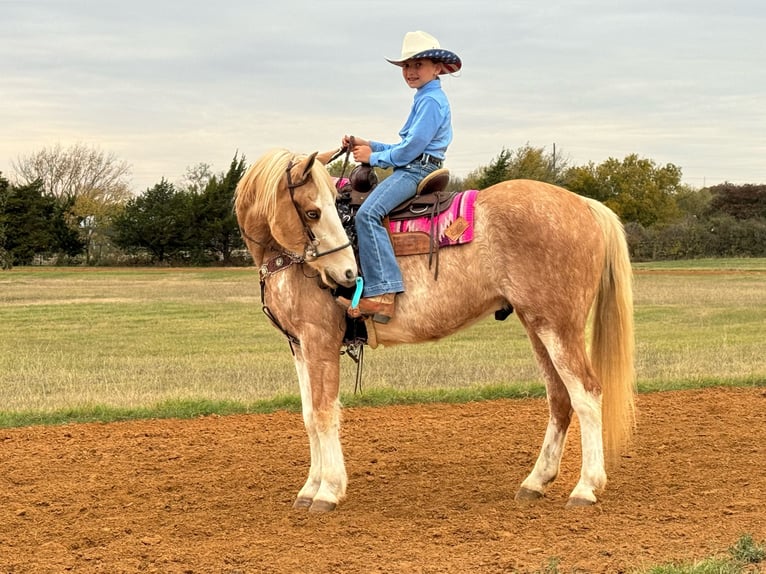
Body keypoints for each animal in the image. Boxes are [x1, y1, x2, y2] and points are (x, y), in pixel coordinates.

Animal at [234, 147, 636, 512]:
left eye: (327, 209)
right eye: (314, 212)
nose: (347, 275)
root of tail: (584, 204)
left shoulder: (320, 342)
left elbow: (323, 413)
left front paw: (328, 490)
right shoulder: (299, 346)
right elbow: (308, 417)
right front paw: (309, 488)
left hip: (558, 327)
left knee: (586, 394)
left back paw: (586, 488)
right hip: (538, 326)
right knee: (559, 398)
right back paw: (536, 482)